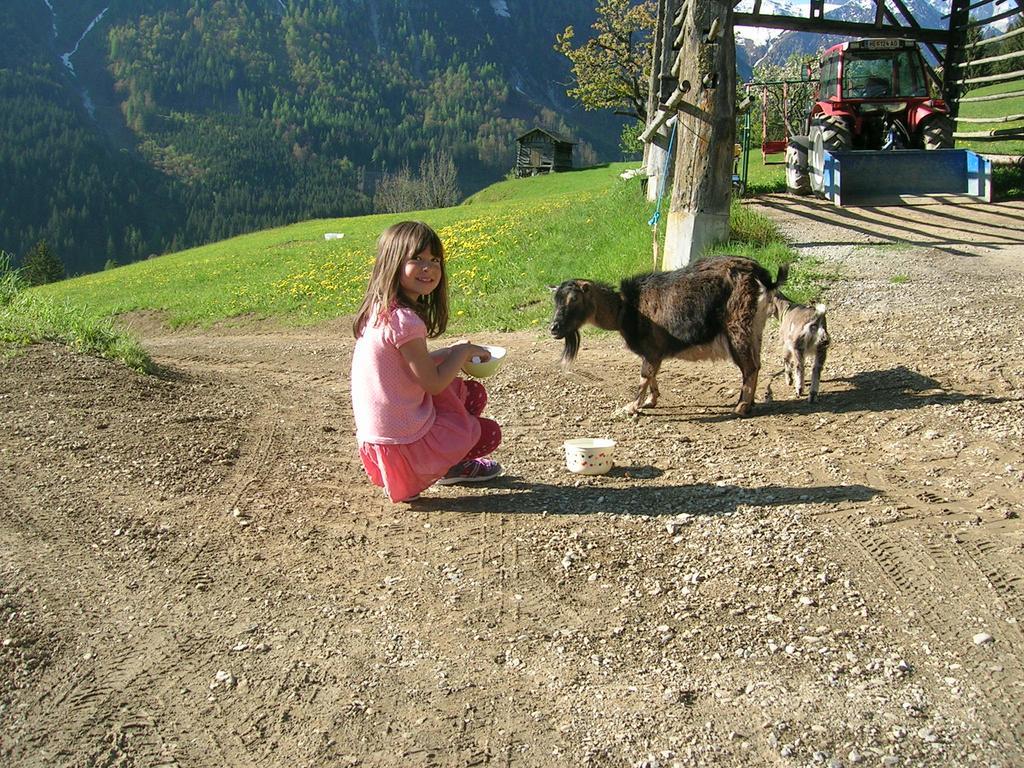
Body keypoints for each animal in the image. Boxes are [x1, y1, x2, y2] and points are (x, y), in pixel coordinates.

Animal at [552, 257, 782, 415]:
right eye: (555, 300)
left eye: (574, 299)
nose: (554, 329)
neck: (625, 309)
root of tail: (762, 277)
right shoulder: (654, 351)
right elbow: (653, 373)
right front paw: (650, 401)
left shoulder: (651, 347)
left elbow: (645, 374)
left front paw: (631, 407)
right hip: (755, 329)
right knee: (757, 364)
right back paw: (750, 403)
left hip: (738, 326)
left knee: (749, 367)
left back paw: (741, 407)